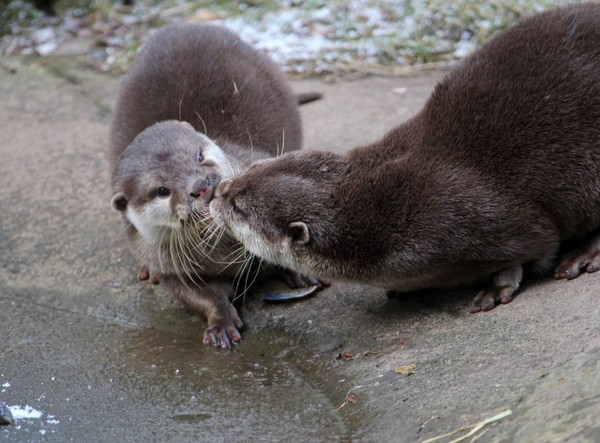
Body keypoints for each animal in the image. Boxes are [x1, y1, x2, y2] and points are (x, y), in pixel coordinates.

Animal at [210, 5, 600, 314]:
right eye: (251, 168)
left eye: (239, 207)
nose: (217, 192)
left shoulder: (474, 220)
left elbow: (534, 247)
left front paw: (494, 288)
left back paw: (583, 256)